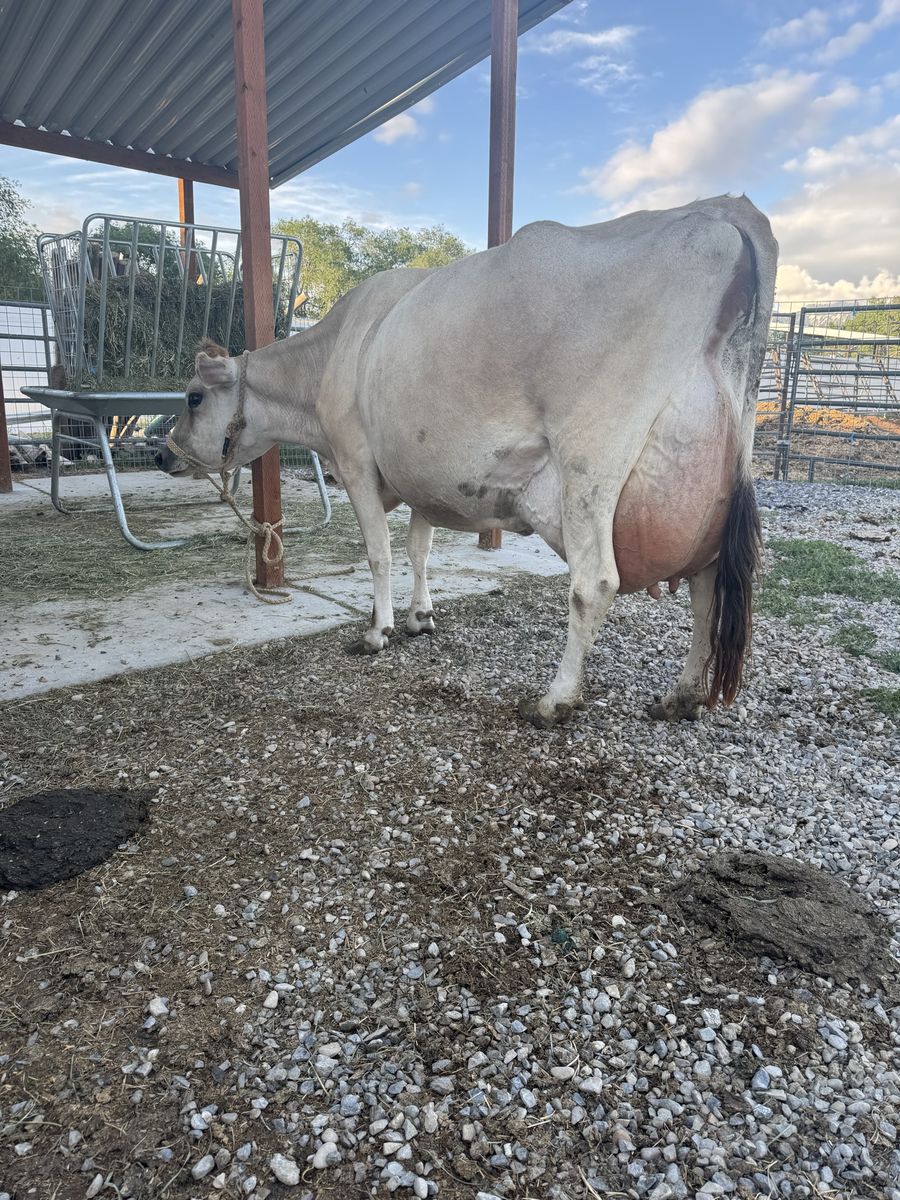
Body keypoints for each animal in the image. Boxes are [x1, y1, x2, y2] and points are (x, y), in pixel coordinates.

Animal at [157, 195, 777, 726]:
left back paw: (555, 700)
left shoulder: (356, 463)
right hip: (711, 479)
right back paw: (683, 696)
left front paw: (378, 631)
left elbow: (380, 554)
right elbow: (419, 547)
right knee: (707, 586)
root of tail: (722, 211)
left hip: (591, 464)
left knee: (595, 582)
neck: (333, 354)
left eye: (193, 397)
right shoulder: (421, 473)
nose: (164, 454)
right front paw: (421, 617)